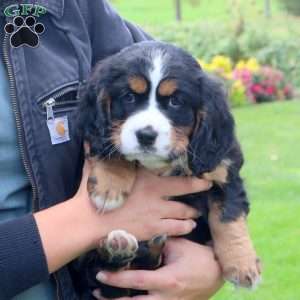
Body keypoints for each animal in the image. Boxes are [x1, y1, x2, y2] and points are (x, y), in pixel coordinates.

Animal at [76, 41, 262, 298]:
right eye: (129, 97)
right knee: (103, 274)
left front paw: (243, 266)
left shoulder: (224, 171)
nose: (145, 135)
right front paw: (108, 189)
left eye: (175, 101)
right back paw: (117, 248)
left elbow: (229, 218)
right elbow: (113, 147)